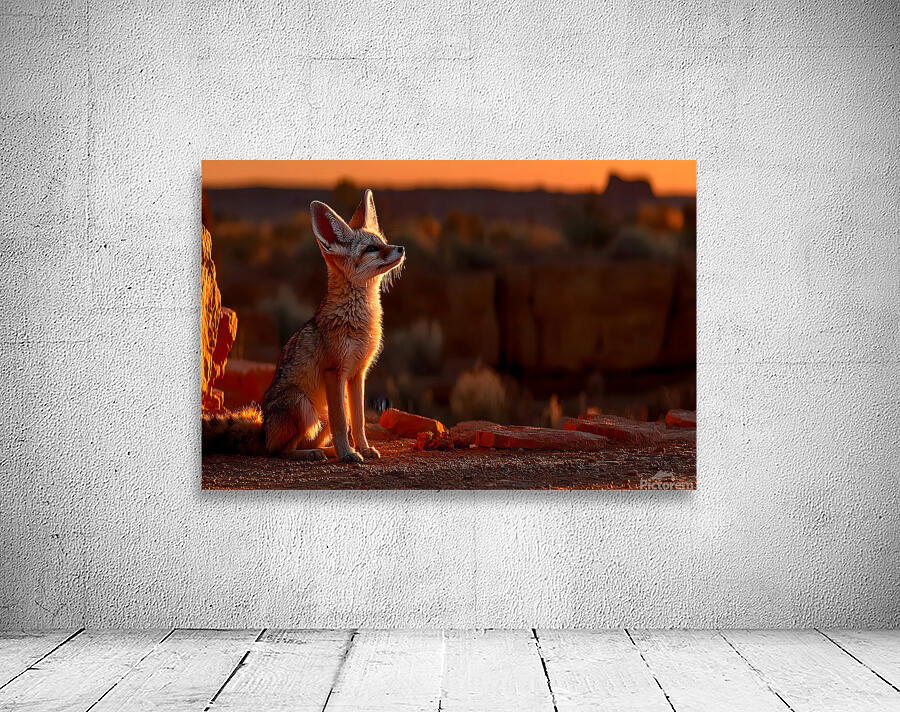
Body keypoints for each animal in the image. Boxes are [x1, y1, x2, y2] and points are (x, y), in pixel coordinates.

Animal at [202, 190, 405, 463]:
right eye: (371, 249)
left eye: (383, 241)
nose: (401, 248)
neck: (359, 320)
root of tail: (262, 431)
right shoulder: (335, 372)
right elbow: (342, 422)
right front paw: (348, 454)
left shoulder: (357, 374)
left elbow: (358, 421)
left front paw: (362, 449)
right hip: (302, 403)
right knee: (279, 451)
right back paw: (315, 453)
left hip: (320, 413)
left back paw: (327, 451)